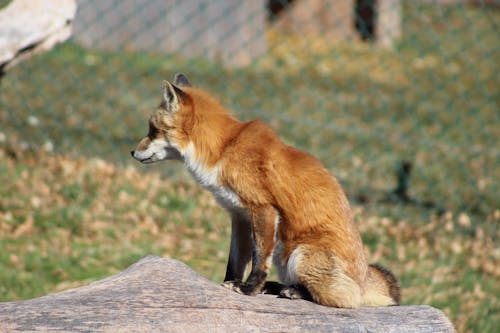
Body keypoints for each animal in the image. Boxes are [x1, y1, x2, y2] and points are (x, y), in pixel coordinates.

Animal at [131, 72, 400, 306]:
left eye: (152, 130)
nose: (132, 152)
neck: (224, 150)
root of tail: (363, 282)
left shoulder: (263, 208)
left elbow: (259, 258)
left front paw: (249, 289)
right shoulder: (238, 214)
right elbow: (235, 261)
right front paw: (230, 284)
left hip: (299, 254)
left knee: (343, 300)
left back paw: (294, 292)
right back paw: (278, 287)